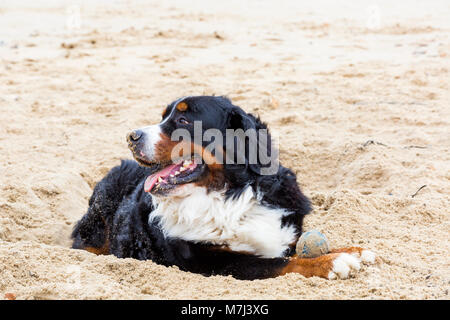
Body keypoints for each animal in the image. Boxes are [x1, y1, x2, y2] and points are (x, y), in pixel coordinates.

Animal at [71, 95, 376, 280]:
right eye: (164, 117)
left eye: (183, 120)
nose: (132, 136)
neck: (231, 196)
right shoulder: (213, 261)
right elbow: (279, 262)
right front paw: (333, 262)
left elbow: (294, 249)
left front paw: (355, 250)